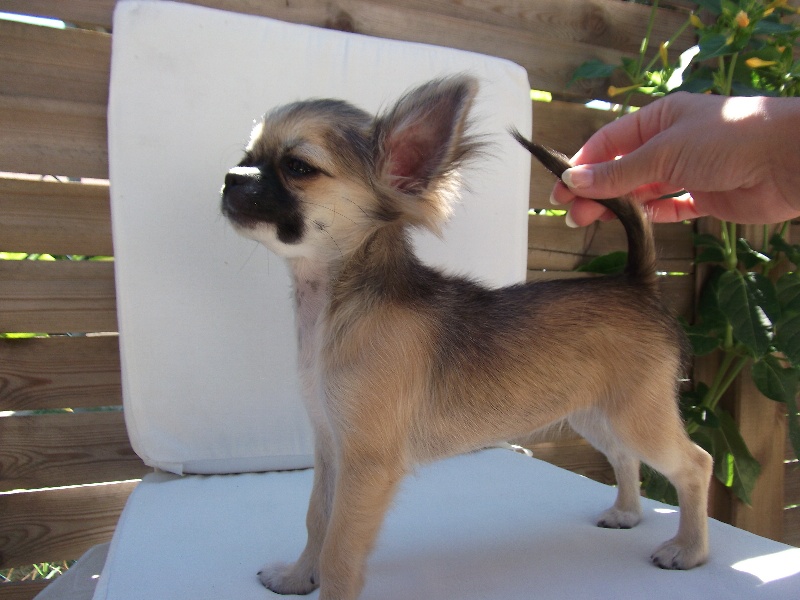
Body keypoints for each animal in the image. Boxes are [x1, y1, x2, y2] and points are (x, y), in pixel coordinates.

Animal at [221, 75, 712, 600]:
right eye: (248, 155)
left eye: (298, 167)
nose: (231, 176)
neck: (335, 307)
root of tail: (637, 282)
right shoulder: (331, 447)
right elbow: (317, 518)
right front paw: (297, 577)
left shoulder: (365, 464)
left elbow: (340, 549)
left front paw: (324, 586)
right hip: (597, 413)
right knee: (625, 456)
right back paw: (627, 512)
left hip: (637, 416)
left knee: (694, 465)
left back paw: (689, 550)